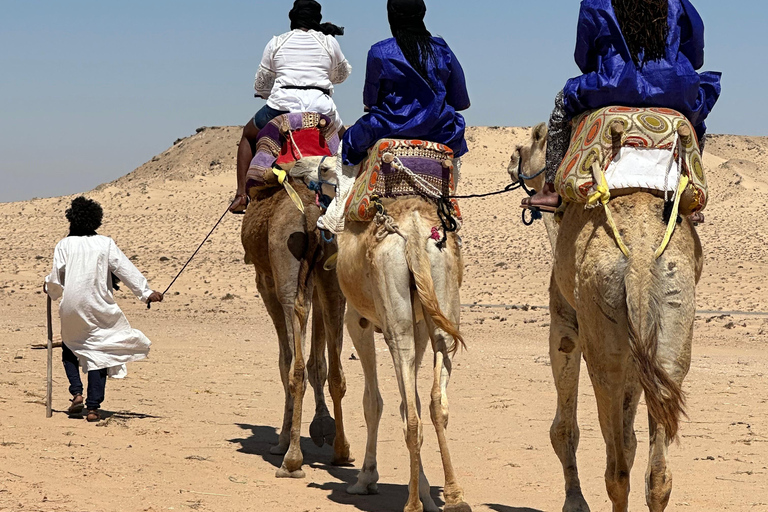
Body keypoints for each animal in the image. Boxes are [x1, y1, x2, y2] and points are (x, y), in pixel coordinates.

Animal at [241, 156, 353, 478]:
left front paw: (281, 441)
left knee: (294, 365)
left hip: (285, 268)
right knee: (336, 370)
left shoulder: (265, 282)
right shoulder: (317, 282)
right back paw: (341, 450)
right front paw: (322, 426)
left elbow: (285, 361)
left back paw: (291, 459)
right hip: (332, 276)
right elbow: (320, 363)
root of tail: (312, 217)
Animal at [336, 196, 472, 512]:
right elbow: (414, 400)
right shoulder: (420, 323)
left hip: (393, 307)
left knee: (410, 414)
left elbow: (372, 403)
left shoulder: (357, 321)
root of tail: (414, 232)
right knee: (436, 401)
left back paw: (412, 504)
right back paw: (454, 496)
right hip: (442, 298)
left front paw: (366, 479)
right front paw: (426, 491)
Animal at [508, 123, 703, 512]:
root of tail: (640, 257)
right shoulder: (636, 349)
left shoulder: (565, 320)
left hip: (601, 331)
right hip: (672, 317)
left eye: (533, 140)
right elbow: (630, 440)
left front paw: (575, 502)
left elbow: (563, 429)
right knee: (657, 472)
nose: (511, 158)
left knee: (617, 470)